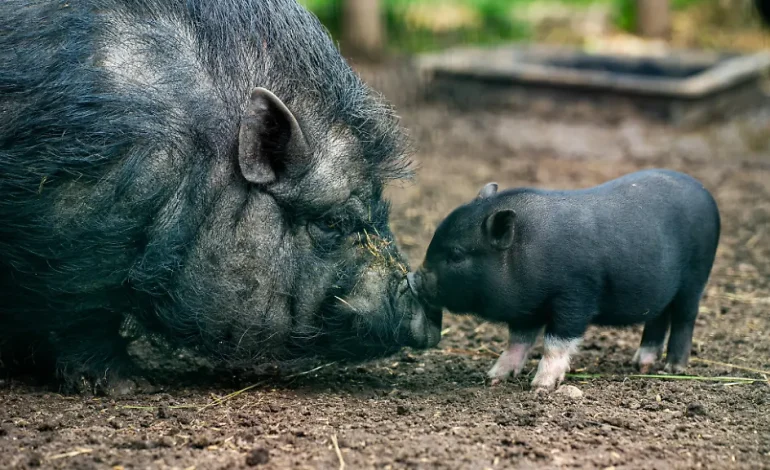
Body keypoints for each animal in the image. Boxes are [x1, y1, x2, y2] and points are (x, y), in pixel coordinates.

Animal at [0, 0, 441, 392]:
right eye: (334, 221)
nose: (431, 304)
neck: (197, 166)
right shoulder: (68, 239)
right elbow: (80, 315)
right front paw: (131, 386)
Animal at [407, 169, 720, 391]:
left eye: (457, 255)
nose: (413, 278)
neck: (529, 252)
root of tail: (705, 192)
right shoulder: (527, 308)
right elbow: (517, 341)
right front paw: (493, 377)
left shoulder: (576, 295)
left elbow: (555, 341)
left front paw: (541, 387)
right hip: (663, 290)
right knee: (658, 319)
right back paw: (640, 364)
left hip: (696, 278)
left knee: (685, 318)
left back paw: (673, 368)